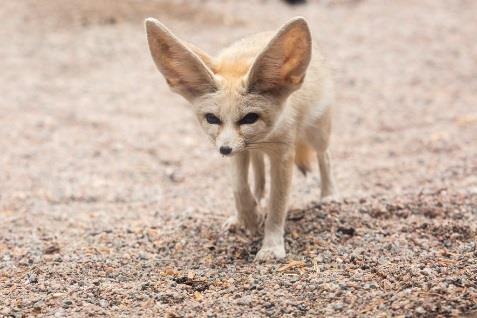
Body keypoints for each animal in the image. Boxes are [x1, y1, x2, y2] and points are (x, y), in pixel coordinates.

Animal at [147, 17, 336, 260]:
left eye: (250, 118)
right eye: (212, 118)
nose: (224, 150)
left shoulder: (283, 154)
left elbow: (277, 204)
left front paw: (271, 246)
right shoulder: (238, 151)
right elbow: (240, 187)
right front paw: (249, 217)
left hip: (317, 134)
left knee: (324, 156)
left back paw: (329, 196)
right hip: (248, 151)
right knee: (258, 177)